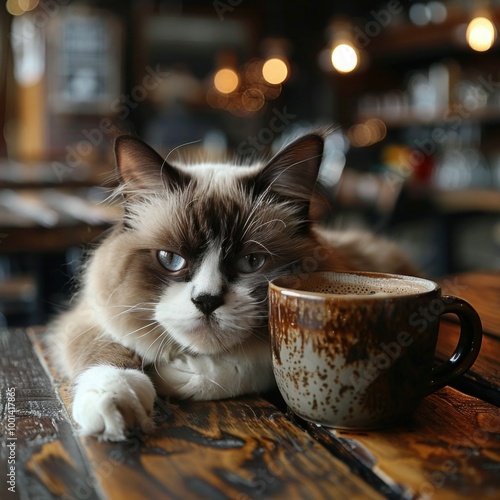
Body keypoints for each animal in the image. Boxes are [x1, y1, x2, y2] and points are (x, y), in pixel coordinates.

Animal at [51, 132, 418, 442]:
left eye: (251, 262)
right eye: (171, 259)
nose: (206, 301)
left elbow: (234, 370)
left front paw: (171, 376)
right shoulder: (88, 317)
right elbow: (106, 354)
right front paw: (114, 404)